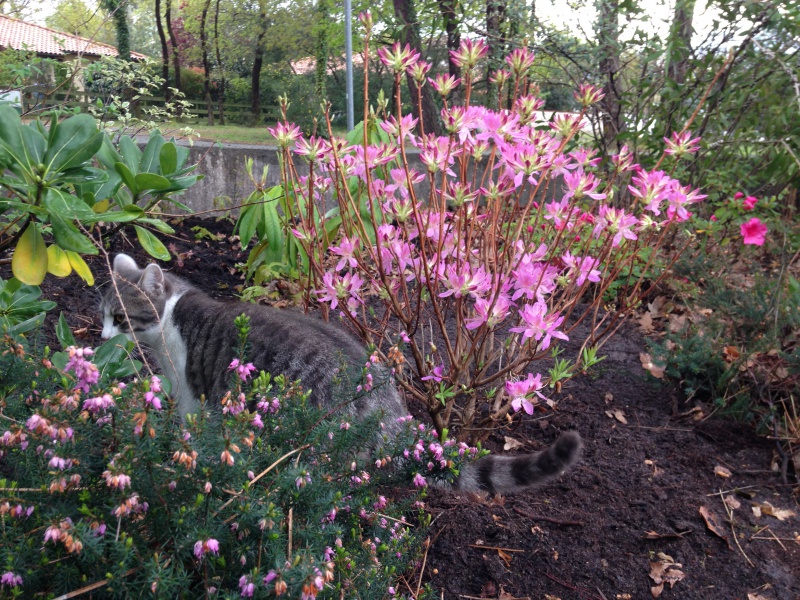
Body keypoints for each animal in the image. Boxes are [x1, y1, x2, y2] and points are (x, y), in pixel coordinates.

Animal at [103, 253, 584, 492]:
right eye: (105, 315)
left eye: (120, 318)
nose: (103, 335)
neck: (171, 310)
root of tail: (390, 410)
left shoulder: (191, 392)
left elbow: (192, 424)